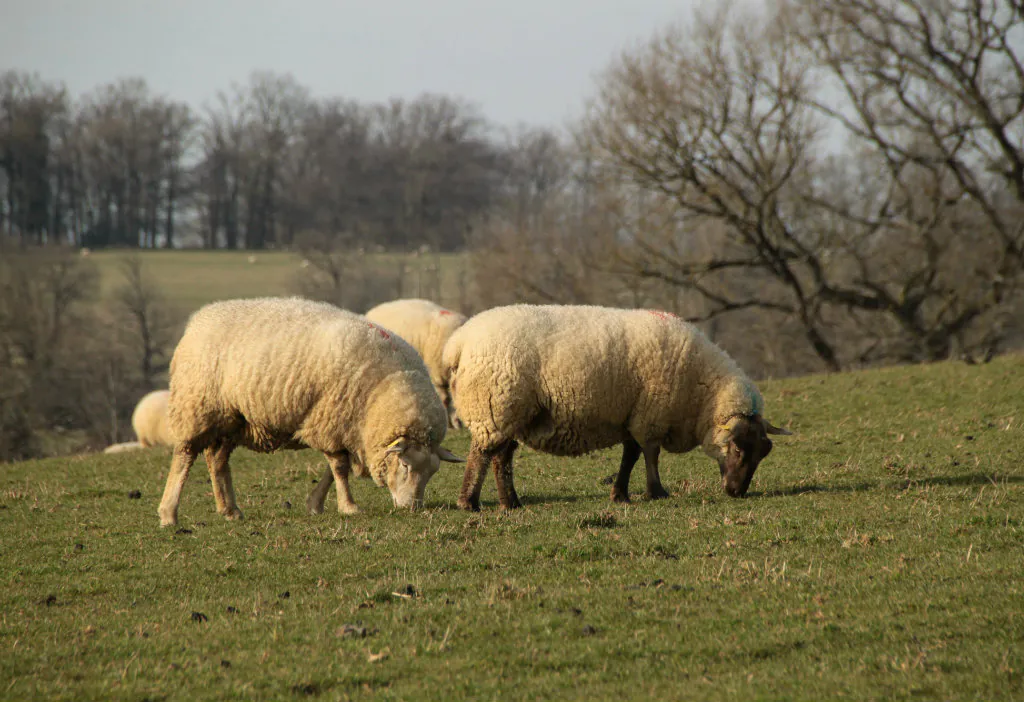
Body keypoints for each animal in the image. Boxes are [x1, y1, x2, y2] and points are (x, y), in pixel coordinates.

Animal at [442, 302, 790, 511]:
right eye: (738, 449)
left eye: (762, 454)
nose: (737, 492)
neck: (701, 393)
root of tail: (458, 344)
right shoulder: (651, 415)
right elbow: (650, 454)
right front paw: (656, 492)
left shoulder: (632, 415)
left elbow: (630, 456)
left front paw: (620, 494)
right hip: (495, 406)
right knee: (482, 454)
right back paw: (469, 502)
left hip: (512, 413)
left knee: (501, 457)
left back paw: (510, 502)